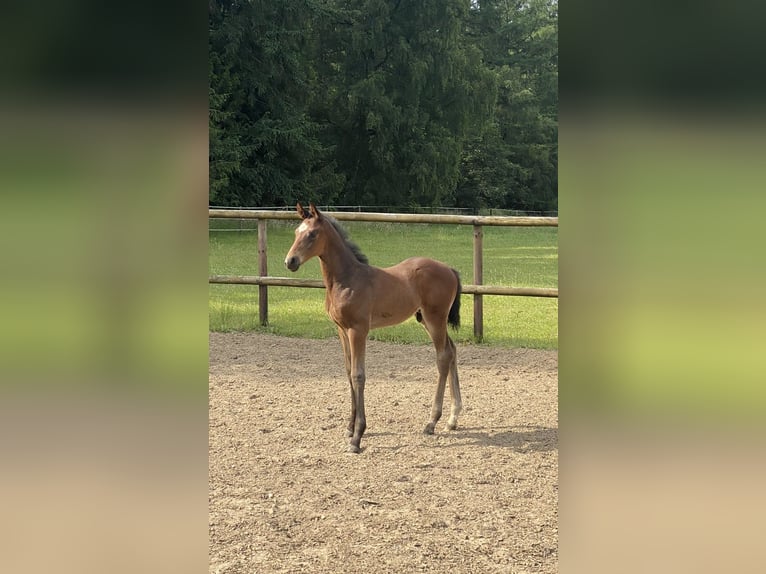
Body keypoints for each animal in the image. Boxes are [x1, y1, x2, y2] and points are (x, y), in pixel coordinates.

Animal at [284, 204, 462, 454]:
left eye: (312, 234)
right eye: (295, 232)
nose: (290, 261)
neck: (347, 279)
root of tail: (450, 269)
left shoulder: (358, 330)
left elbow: (358, 375)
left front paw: (357, 437)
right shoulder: (341, 330)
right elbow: (348, 372)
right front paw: (350, 427)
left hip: (435, 317)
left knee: (443, 357)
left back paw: (432, 421)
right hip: (425, 319)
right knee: (452, 350)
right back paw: (453, 419)